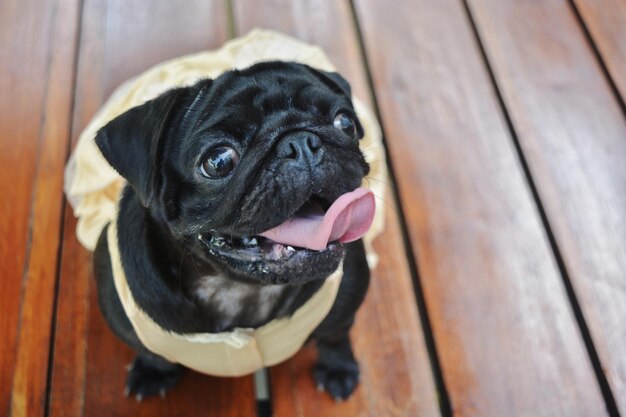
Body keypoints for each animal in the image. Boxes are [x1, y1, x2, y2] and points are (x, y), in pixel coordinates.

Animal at [92, 61, 372, 400]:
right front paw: (152, 372)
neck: (237, 289)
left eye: (345, 123)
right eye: (218, 161)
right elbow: (150, 351)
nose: (300, 142)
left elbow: (335, 334)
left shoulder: (348, 293)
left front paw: (337, 368)